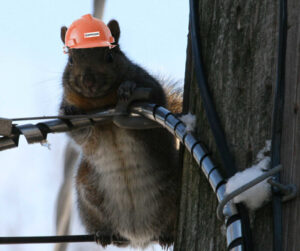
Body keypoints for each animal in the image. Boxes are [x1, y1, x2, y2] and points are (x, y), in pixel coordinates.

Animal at [58, 19, 180, 247]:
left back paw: (168, 234)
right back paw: (105, 234)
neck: (99, 102)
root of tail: (139, 234)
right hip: (89, 197)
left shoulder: (150, 88)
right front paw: (70, 111)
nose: (88, 81)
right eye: (70, 60)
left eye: (110, 56)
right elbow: (80, 135)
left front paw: (127, 88)